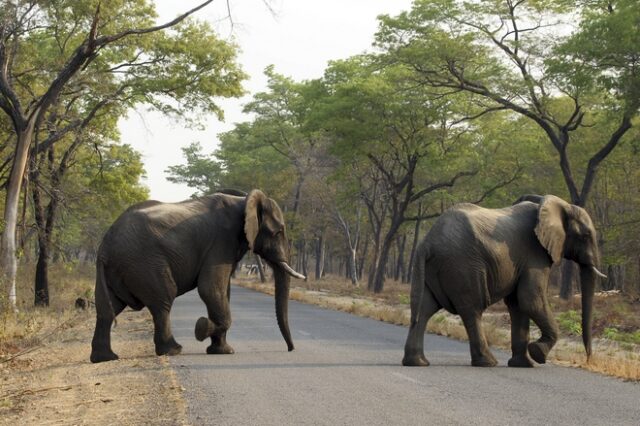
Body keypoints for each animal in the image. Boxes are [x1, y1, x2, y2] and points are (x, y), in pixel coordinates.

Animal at [89, 190, 304, 362]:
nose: (290, 349)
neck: (243, 200)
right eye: (279, 232)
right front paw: (202, 329)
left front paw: (222, 351)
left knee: (107, 309)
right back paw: (173, 350)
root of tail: (105, 246)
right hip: (145, 263)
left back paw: (104, 358)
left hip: (119, 269)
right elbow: (210, 289)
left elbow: (222, 291)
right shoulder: (221, 242)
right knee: (163, 301)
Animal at [402, 195, 608, 368]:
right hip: (463, 266)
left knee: (424, 309)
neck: (557, 204)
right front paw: (538, 354)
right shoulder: (535, 254)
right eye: (586, 236)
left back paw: (417, 362)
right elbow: (530, 299)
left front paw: (523, 364)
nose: (588, 359)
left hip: (435, 268)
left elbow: (517, 304)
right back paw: (488, 362)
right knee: (472, 309)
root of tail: (427, 243)